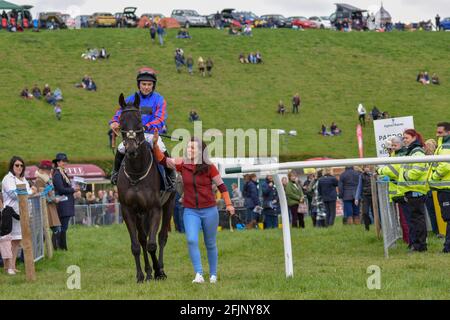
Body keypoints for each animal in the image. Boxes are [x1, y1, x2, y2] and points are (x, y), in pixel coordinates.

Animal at [117, 92, 175, 282]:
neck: (136, 173)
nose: (131, 149)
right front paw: (141, 275)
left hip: (169, 204)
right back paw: (148, 272)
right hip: (140, 213)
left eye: (139, 121)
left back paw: (160, 269)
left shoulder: (155, 208)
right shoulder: (128, 209)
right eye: (121, 121)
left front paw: (159, 272)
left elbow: (152, 244)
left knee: (162, 237)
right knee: (142, 238)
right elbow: (137, 245)